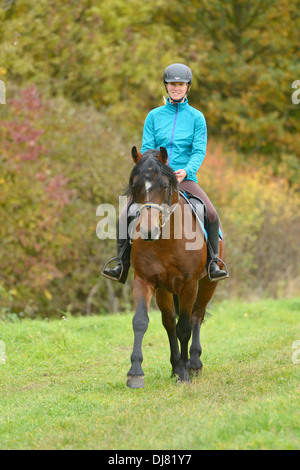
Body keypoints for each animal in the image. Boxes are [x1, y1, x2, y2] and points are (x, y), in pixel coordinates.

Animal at [125, 147, 226, 390]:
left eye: (164, 185)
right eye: (135, 185)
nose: (149, 231)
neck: (166, 240)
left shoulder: (189, 284)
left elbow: (185, 327)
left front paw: (185, 374)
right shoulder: (146, 281)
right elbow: (143, 322)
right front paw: (136, 373)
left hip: (207, 284)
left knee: (196, 316)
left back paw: (194, 363)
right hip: (166, 290)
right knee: (171, 322)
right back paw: (177, 365)